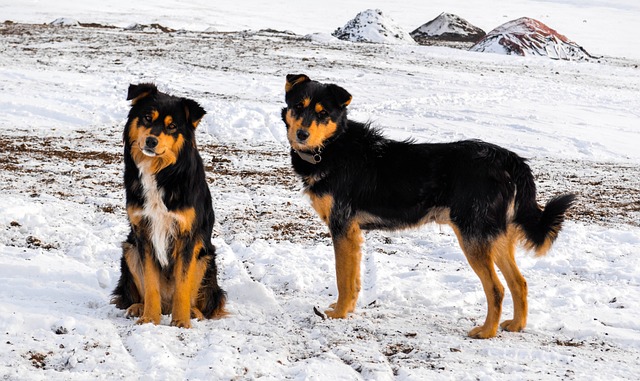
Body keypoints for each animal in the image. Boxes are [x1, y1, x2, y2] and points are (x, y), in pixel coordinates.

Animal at [280, 74, 576, 338]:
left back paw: (486, 332)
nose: (302, 134)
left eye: (323, 113)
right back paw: (516, 325)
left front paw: (338, 314)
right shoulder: (352, 233)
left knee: (497, 288)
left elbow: (343, 278)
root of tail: (507, 158)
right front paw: (347, 310)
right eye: (299, 107)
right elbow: (353, 280)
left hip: (473, 236)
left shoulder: (342, 227)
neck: (333, 146)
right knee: (519, 283)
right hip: (495, 236)